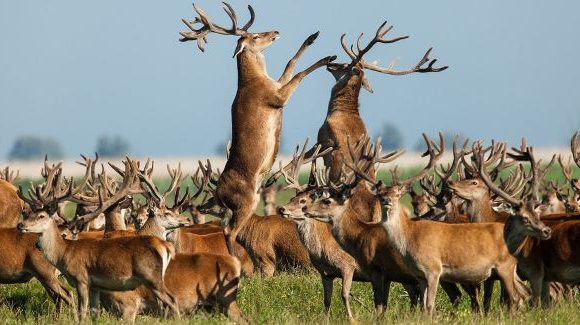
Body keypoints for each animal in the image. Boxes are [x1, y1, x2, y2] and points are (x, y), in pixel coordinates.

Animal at [179, 1, 338, 253]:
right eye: (254, 36)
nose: (275, 31)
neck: (256, 80)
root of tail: (219, 193)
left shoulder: (278, 84)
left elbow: (290, 63)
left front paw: (312, 37)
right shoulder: (277, 97)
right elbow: (299, 74)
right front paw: (327, 57)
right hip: (246, 201)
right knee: (229, 230)